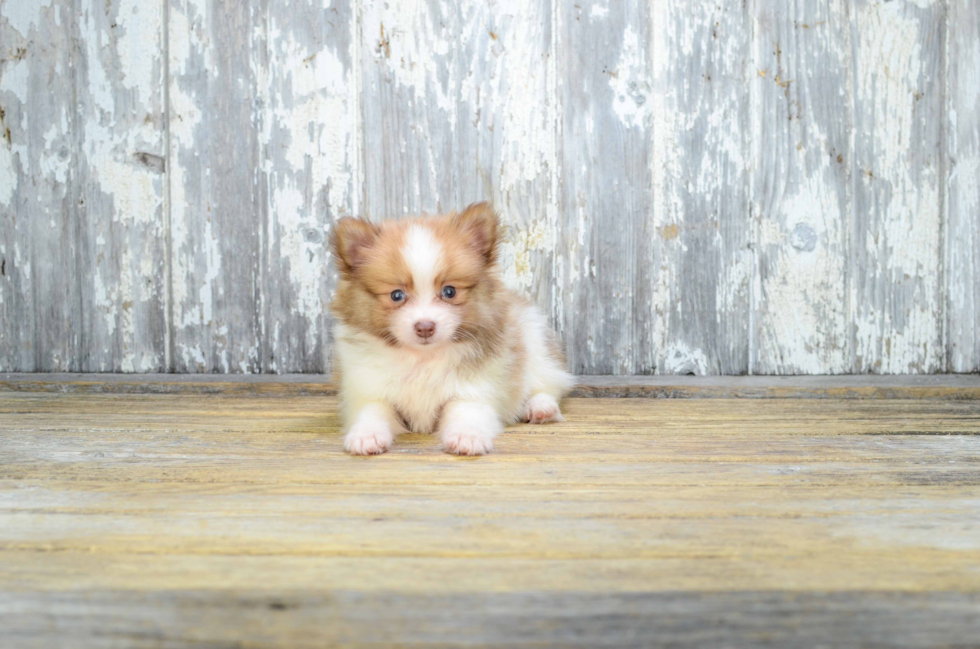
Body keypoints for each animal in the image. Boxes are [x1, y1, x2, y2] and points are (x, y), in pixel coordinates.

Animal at [330, 200, 576, 454]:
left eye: (449, 291)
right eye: (397, 295)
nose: (425, 326)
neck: (423, 359)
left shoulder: (472, 391)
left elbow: (465, 413)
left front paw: (466, 436)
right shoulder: (371, 391)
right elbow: (372, 412)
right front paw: (365, 435)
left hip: (535, 341)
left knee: (548, 384)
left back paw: (540, 408)